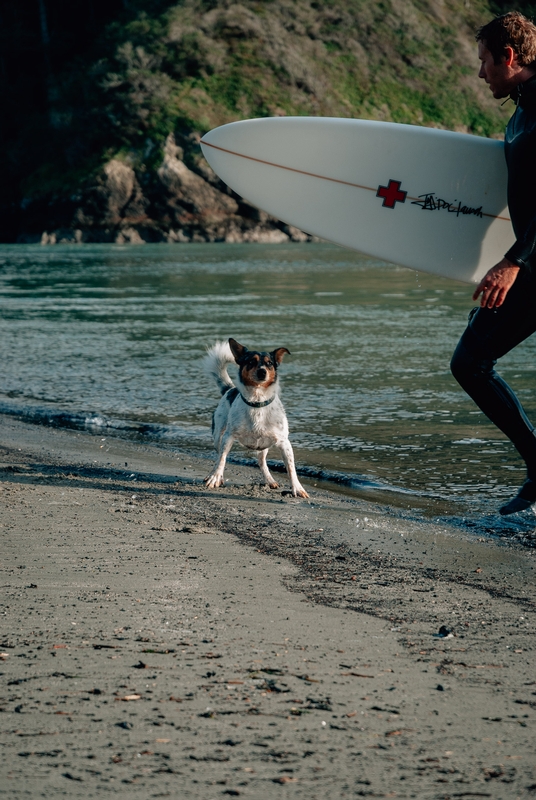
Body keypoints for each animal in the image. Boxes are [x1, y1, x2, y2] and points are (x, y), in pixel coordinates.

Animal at [202, 334, 308, 496]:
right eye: (251, 361)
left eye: (269, 363)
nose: (262, 372)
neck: (257, 402)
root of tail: (230, 388)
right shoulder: (228, 437)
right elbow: (222, 459)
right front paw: (215, 478)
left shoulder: (284, 442)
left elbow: (291, 468)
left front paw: (297, 488)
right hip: (217, 435)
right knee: (218, 454)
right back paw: (214, 475)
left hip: (264, 444)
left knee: (261, 461)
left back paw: (269, 480)